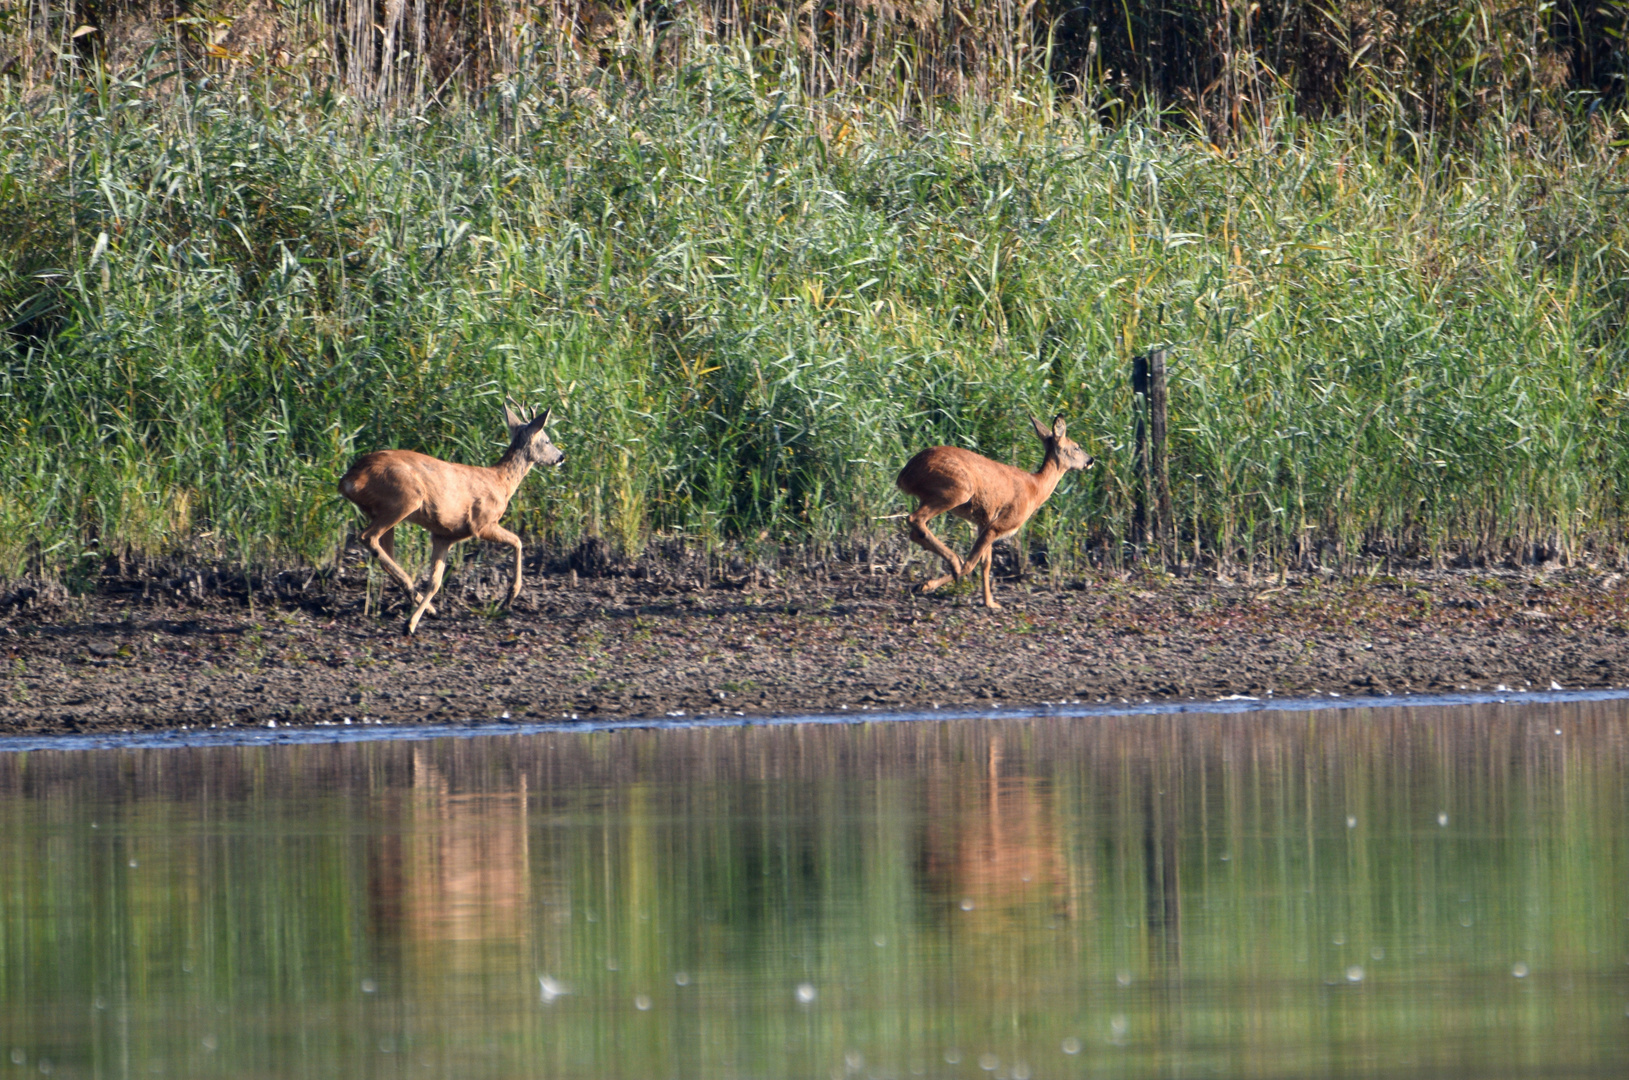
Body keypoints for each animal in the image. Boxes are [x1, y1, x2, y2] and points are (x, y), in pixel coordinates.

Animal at [338, 399, 566, 635]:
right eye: (546, 440)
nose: (561, 456)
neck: (501, 482)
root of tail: (349, 479)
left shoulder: (443, 535)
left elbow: (435, 582)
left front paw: (416, 618)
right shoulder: (482, 523)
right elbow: (518, 541)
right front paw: (510, 596)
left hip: (380, 510)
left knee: (385, 554)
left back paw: (423, 604)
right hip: (405, 498)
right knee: (367, 537)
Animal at [892, 413, 1094, 609]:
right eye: (1076, 447)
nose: (1091, 460)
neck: (1035, 488)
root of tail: (905, 474)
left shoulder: (984, 522)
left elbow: (986, 563)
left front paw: (989, 602)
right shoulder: (999, 524)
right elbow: (971, 563)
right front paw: (927, 585)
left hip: (935, 495)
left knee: (915, 531)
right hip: (957, 489)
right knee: (914, 519)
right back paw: (953, 564)